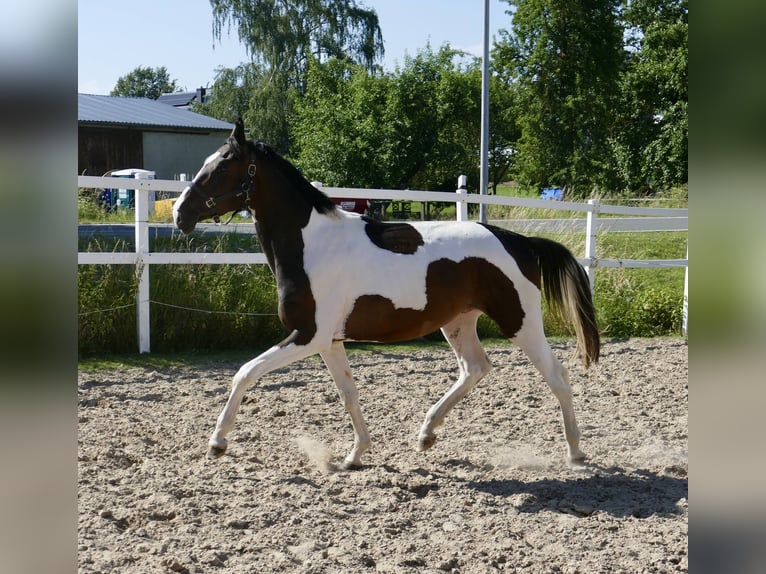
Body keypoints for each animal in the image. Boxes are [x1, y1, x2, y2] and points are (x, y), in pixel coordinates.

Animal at [172, 119, 600, 470]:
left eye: (222, 166)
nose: (179, 213)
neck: (313, 245)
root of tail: (519, 241)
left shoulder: (307, 336)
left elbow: (244, 373)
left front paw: (217, 443)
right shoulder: (329, 341)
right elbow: (348, 393)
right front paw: (355, 455)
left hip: (520, 321)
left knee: (556, 375)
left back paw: (576, 452)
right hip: (458, 322)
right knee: (475, 368)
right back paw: (426, 434)